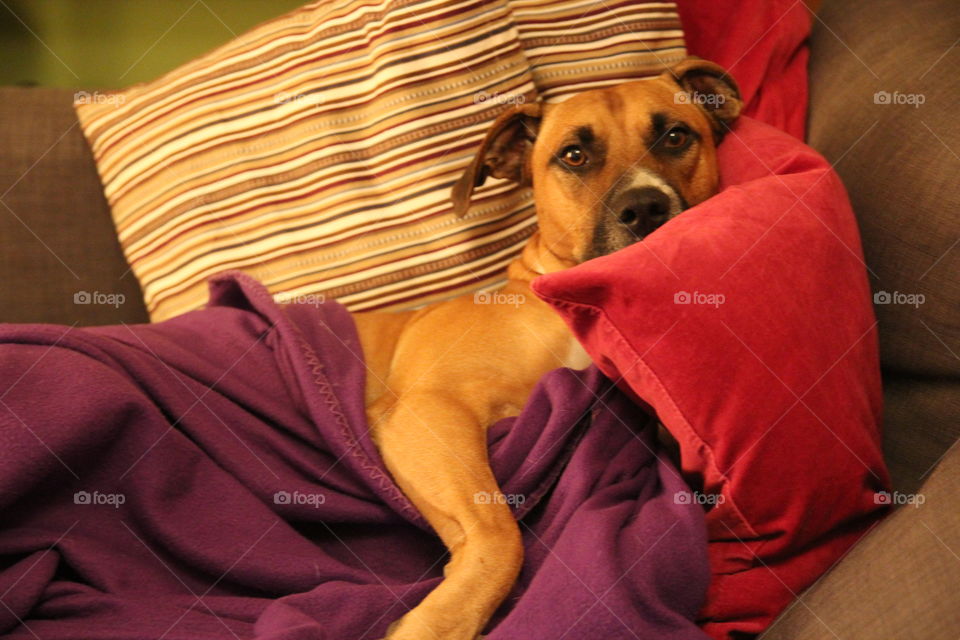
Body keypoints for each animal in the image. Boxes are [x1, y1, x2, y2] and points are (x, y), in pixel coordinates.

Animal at [352, 57, 744, 636]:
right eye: (574, 155)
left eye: (675, 136)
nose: (645, 206)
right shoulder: (430, 408)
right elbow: (500, 535)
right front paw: (441, 621)